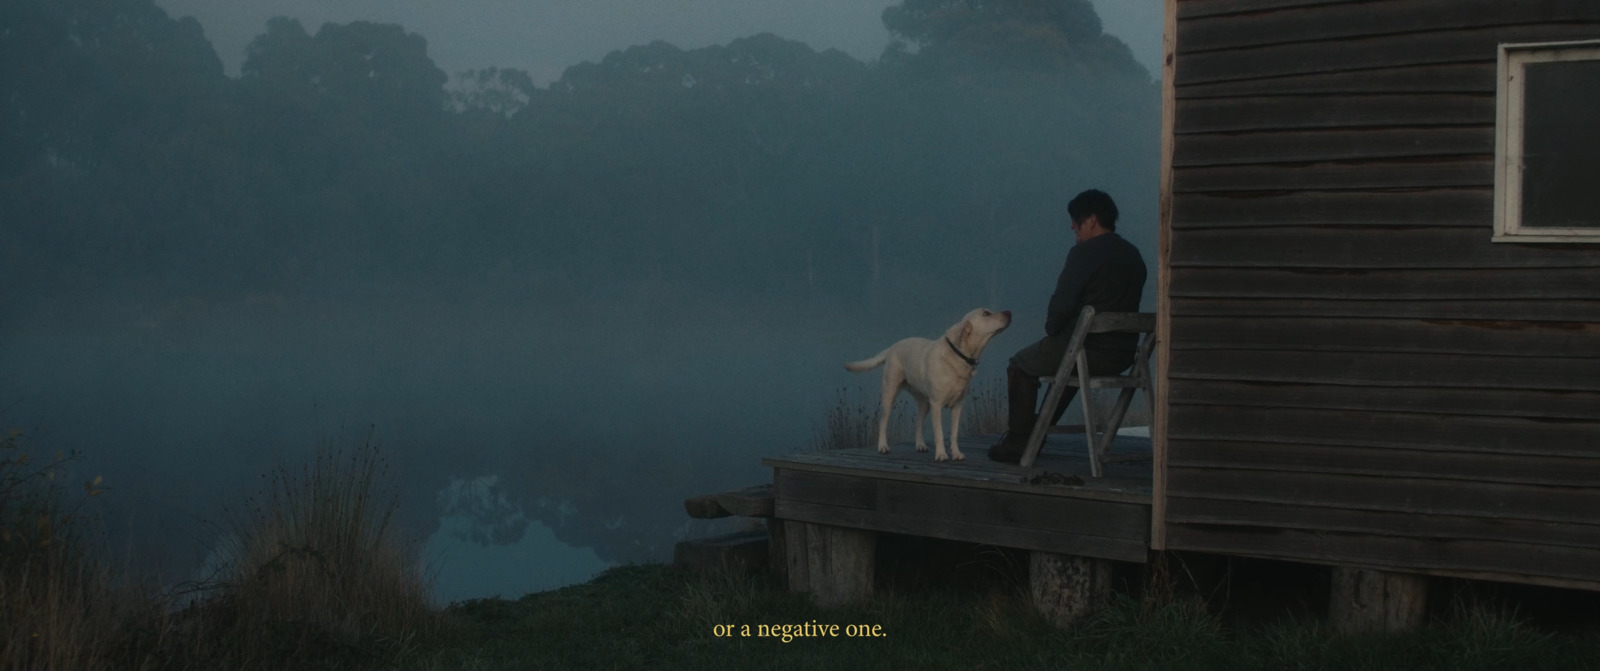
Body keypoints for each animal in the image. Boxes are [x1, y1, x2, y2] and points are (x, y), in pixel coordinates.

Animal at [844, 310, 1004, 461]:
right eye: (986, 313)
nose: (1008, 313)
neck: (958, 356)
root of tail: (892, 347)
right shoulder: (936, 405)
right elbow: (939, 433)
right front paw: (941, 455)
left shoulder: (957, 406)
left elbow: (954, 434)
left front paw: (956, 453)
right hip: (889, 395)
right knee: (883, 422)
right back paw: (883, 446)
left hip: (924, 403)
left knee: (918, 423)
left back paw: (920, 445)